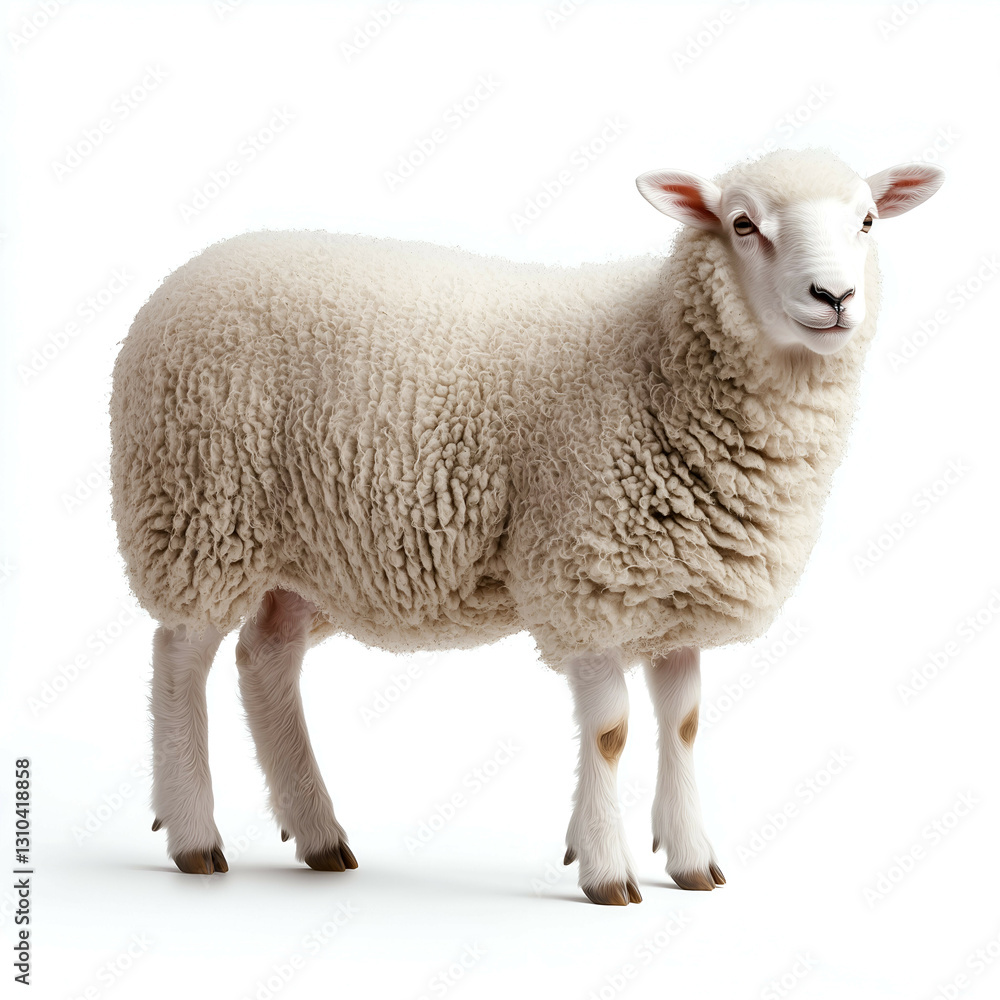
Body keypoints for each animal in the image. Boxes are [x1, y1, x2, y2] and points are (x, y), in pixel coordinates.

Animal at [109, 147, 943, 903]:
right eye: (743, 224)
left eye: (867, 220)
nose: (834, 296)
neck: (652, 354)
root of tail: (186, 273)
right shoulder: (585, 578)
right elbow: (611, 732)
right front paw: (606, 870)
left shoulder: (676, 592)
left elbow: (683, 725)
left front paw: (691, 860)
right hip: (201, 514)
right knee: (180, 656)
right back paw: (193, 835)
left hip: (305, 552)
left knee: (265, 657)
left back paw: (317, 833)